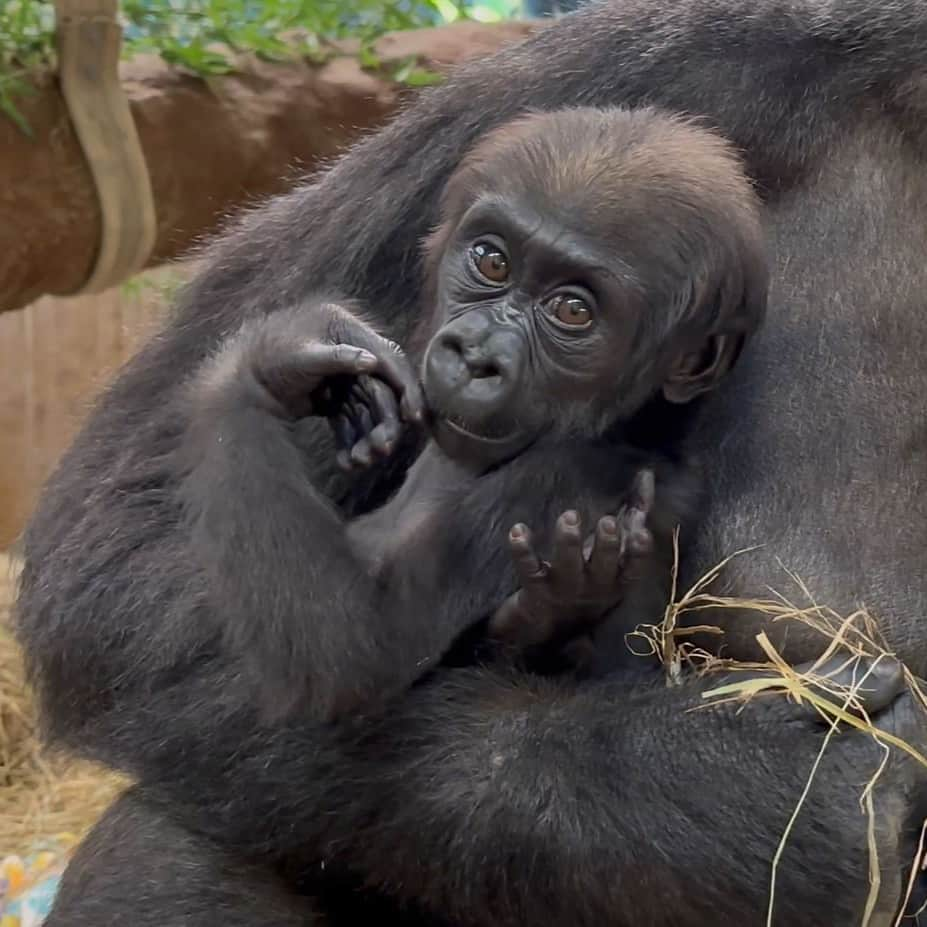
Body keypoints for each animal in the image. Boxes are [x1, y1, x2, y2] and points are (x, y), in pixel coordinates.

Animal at [181, 107, 768, 716]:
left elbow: (356, 641)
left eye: (572, 310)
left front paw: (263, 365)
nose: (476, 355)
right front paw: (308, 344)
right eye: (492, 261)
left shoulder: (571, 482)